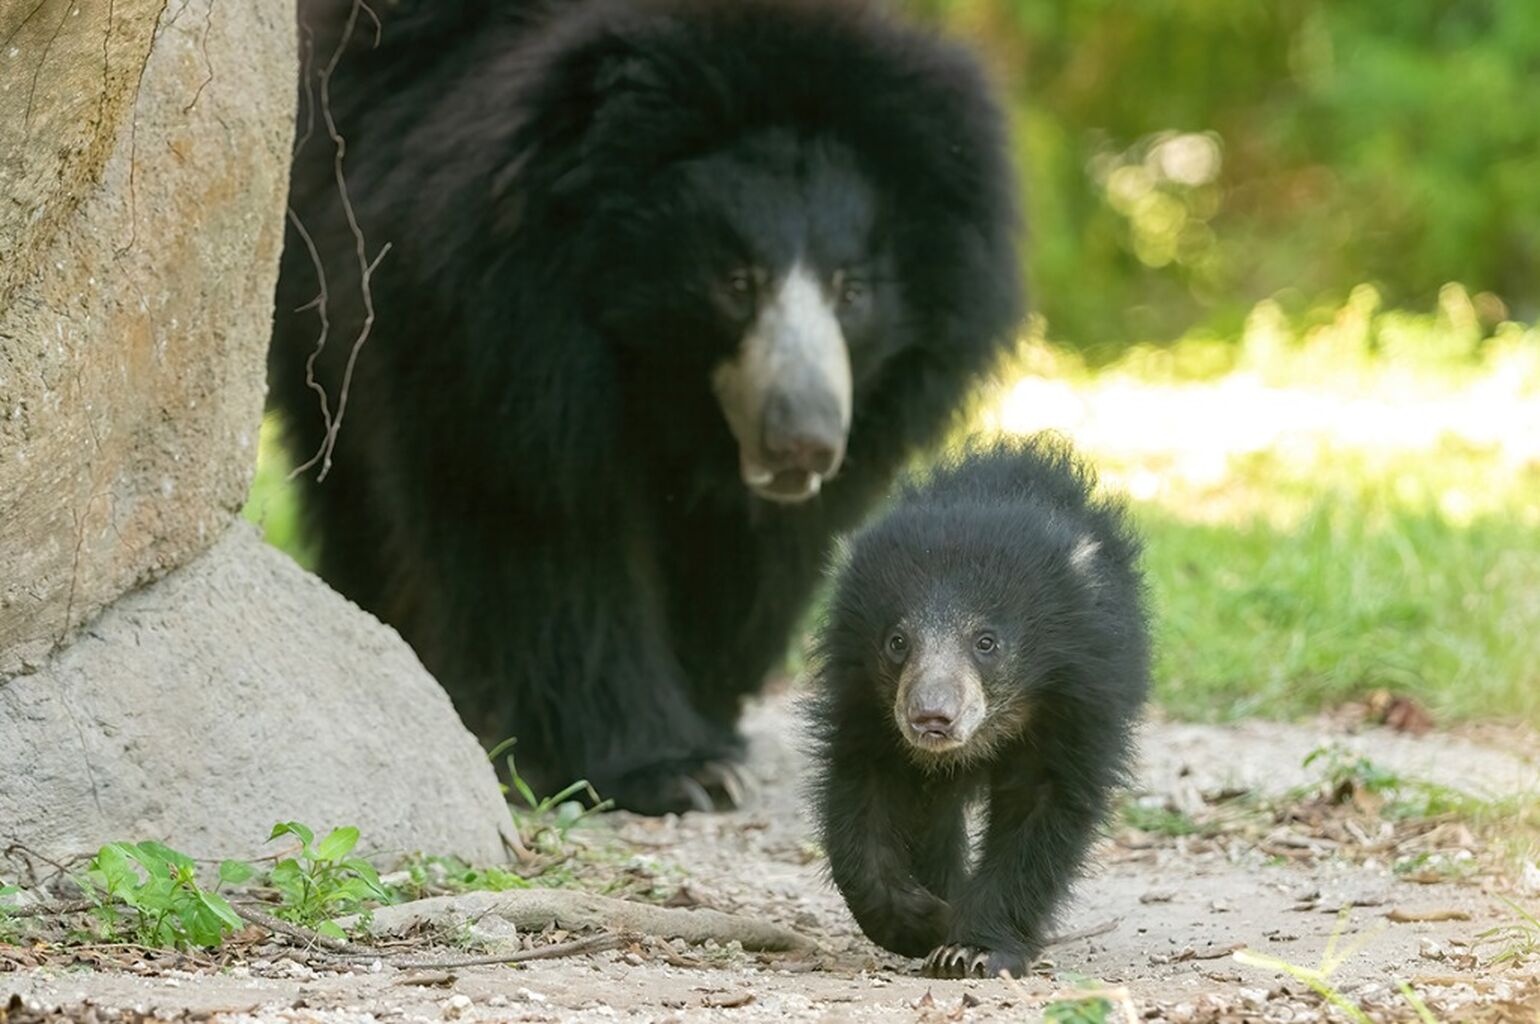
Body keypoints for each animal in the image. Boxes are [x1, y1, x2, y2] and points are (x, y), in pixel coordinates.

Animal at [268, 0, 1023, 815]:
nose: (805, 443)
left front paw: (711, 723)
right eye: (736, 282)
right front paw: (671, 768)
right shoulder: (496, 339)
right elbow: (544, 527)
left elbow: (750, 549)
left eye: (851, 290)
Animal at [805, 437, 1151, 977]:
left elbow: (1041, 809)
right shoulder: (865, 702)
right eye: (897, 642)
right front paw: (925, 920)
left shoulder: (1078, 698)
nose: (931, 717)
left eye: (986, 642)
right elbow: (862, 794)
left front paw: (970, 950)